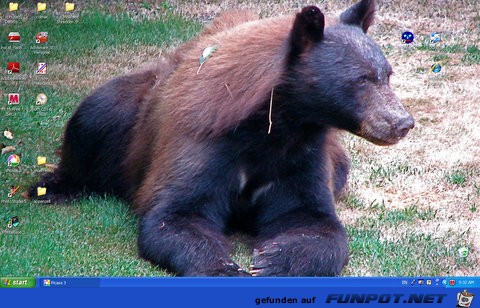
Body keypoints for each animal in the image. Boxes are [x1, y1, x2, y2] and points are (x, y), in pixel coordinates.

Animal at [30, 0, 414, 276]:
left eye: (388, 74)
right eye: (362, 79)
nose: (403, 122)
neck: (273, 128)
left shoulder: (302, 154)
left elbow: (311, 219)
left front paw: (273, 260)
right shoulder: (203, 142)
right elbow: (177, 213)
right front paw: (225, 268)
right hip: (123, 109)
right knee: (92, 119)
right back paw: (53, 186)